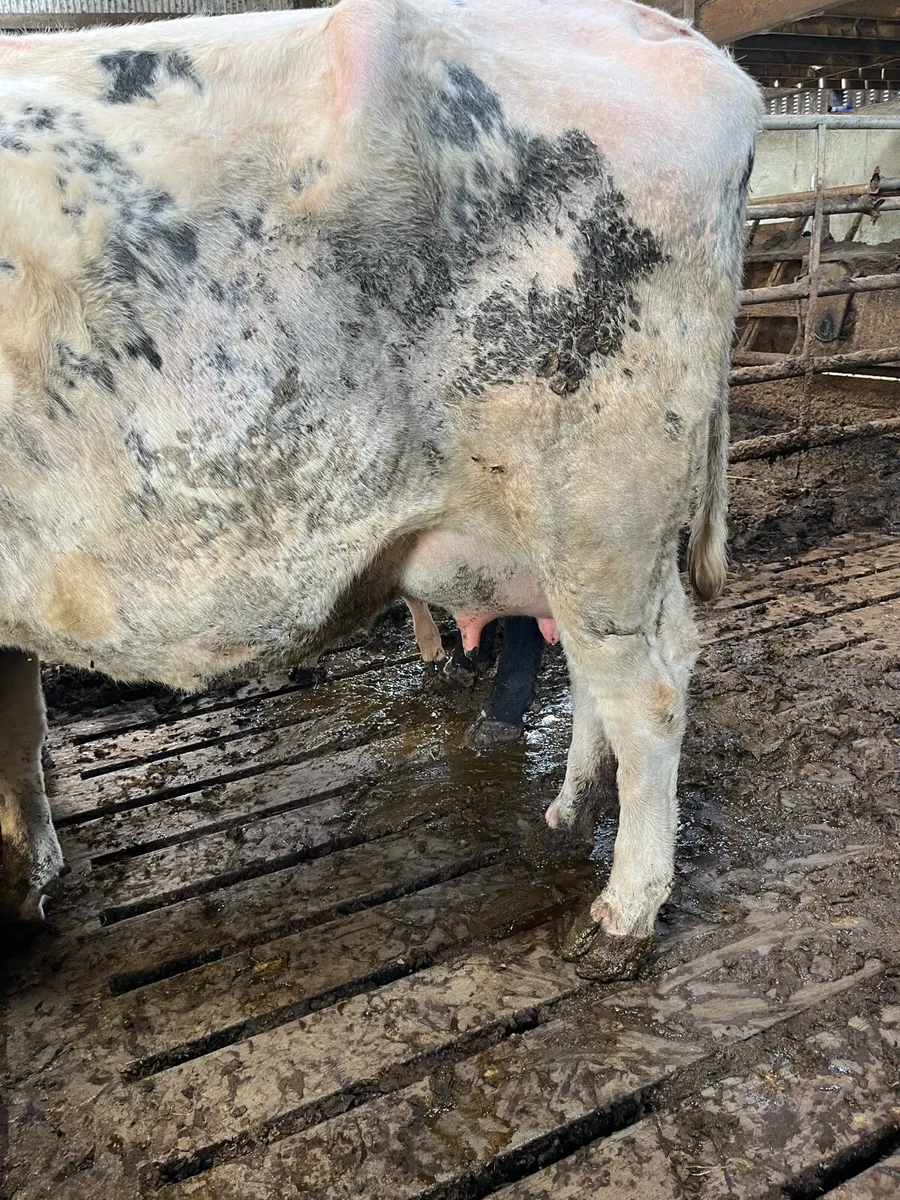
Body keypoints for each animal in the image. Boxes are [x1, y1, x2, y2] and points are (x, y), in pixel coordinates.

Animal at [0, 0, 760, 979]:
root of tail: (689, 46)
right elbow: (20, 734)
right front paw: (31, 880)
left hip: (598, 504)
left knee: (650, 698)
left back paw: (618, 920)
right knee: (634, 665)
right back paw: (568, 812)